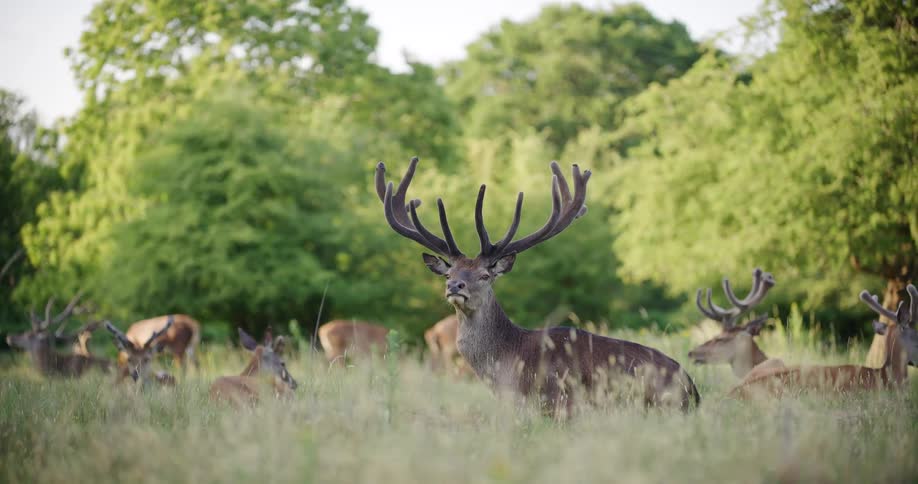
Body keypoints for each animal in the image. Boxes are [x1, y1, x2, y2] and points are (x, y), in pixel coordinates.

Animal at [375, 157, 700, 415]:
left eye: (485, 275)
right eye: (448, 273)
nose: (456, 286)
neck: (509, 366)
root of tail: (692, 388)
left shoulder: (559, 404)